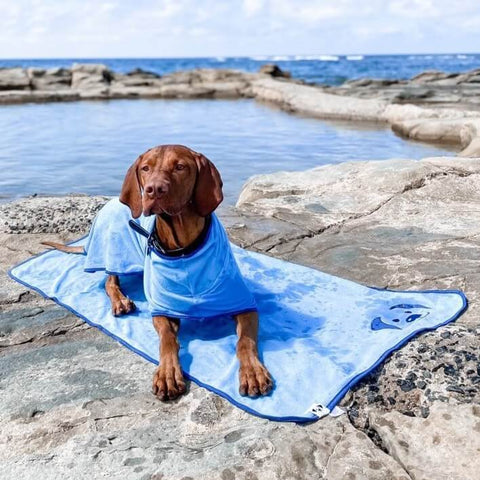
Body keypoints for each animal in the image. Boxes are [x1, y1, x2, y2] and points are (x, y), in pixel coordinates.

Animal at [45, 145, 274, 402]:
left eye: (180, 166)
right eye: (146, 168)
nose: (154, 189)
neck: (184, 248)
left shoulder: (244, 305)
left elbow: (244, 341)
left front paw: (253, 371)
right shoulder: (162, 310)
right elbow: (167, 340)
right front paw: (167, 373)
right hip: (112, 252)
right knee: (108, 282)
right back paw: (121, 301)